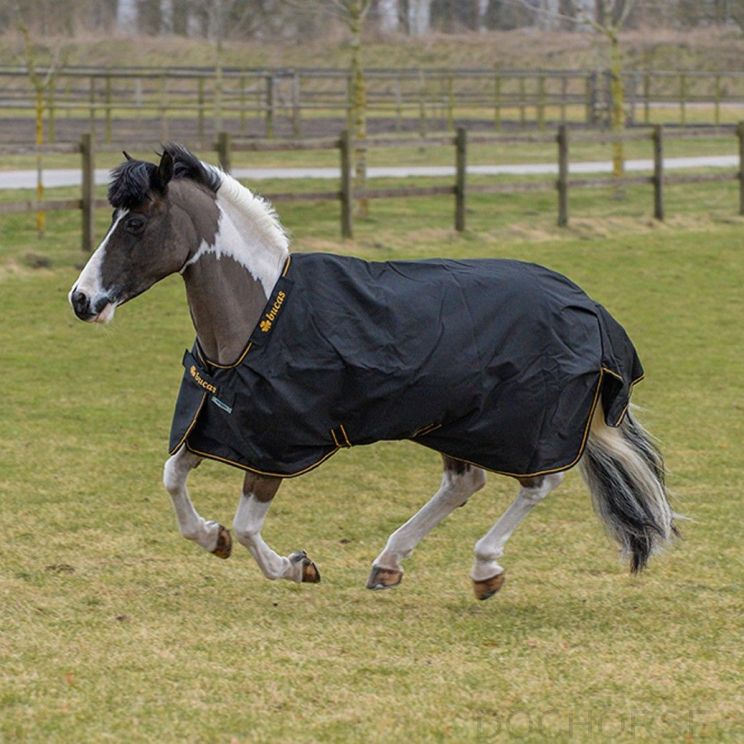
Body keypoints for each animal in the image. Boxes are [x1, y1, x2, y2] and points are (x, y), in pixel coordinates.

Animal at [68, 144, 677, 600]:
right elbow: (173, 480)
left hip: (520, 427)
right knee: (465, 483)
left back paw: (484, 569)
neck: (259, 317)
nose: (81, 300)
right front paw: (210, 537)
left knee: (537, 483)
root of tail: (589, 307)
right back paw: (389, 564)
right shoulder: (216, 426)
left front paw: (297, 566)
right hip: (455, 422)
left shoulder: (274, 447)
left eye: (136, 223)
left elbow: (246, 527)